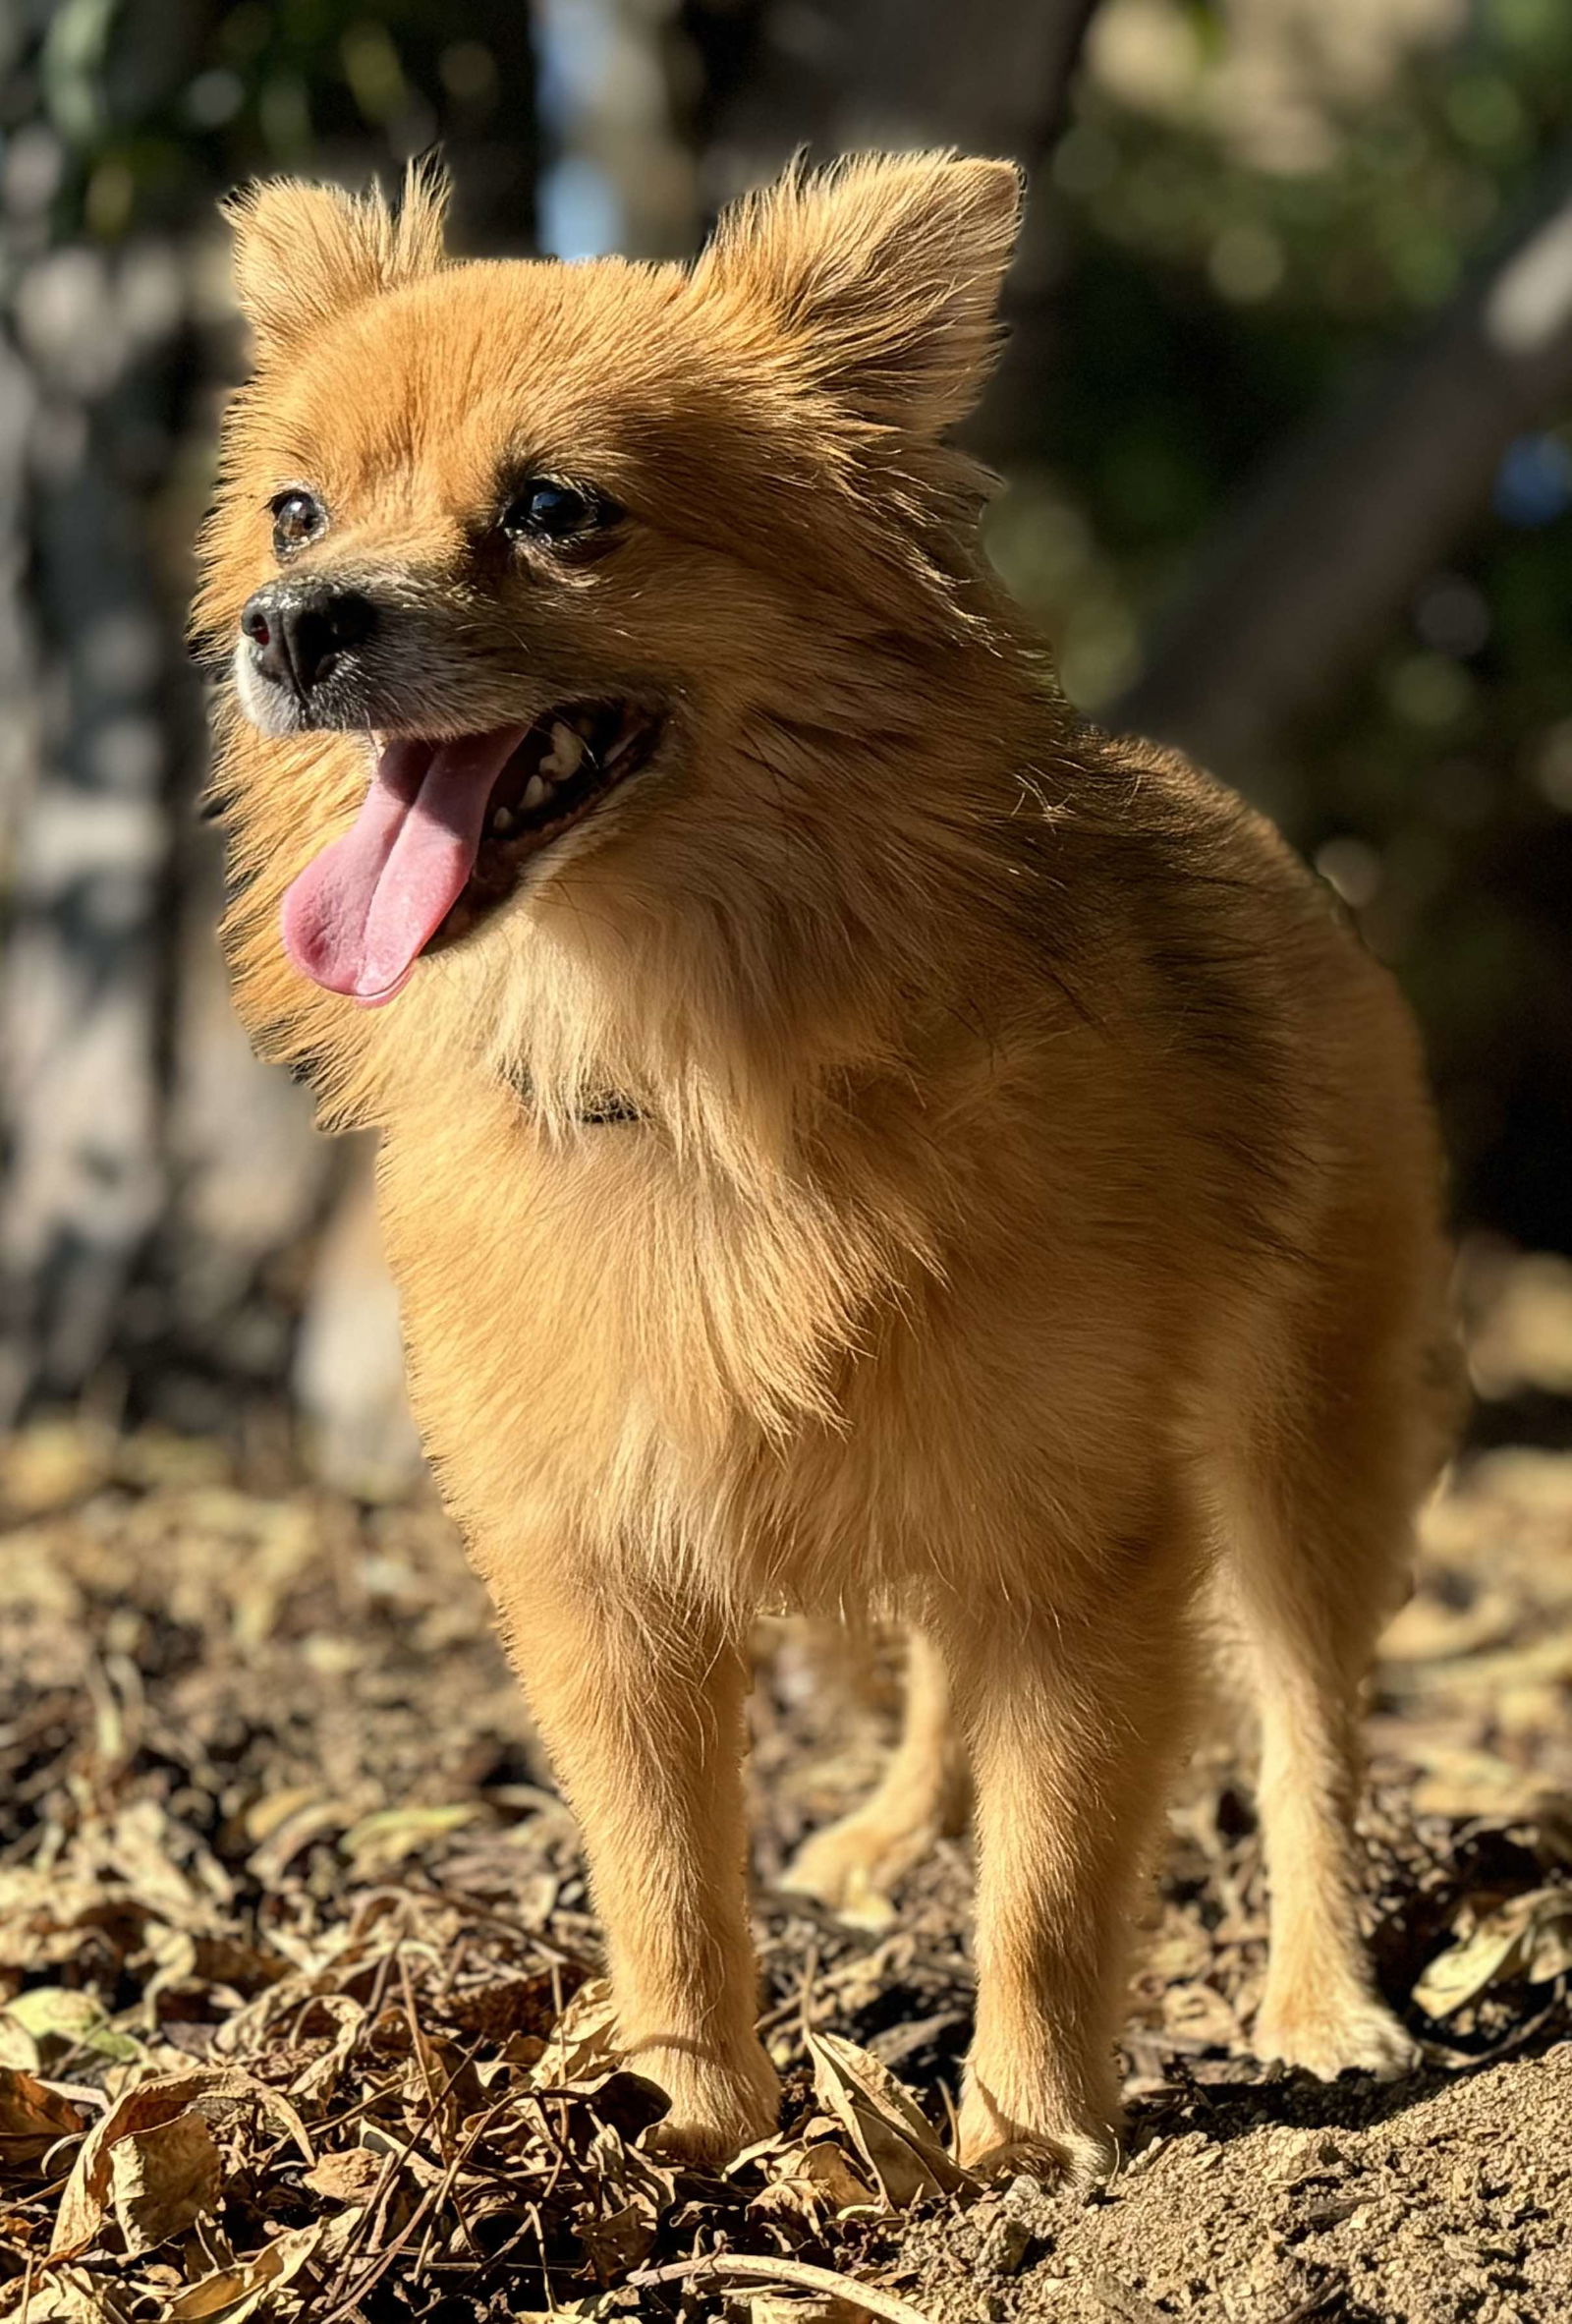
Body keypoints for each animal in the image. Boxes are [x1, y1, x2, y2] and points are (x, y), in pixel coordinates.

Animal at [196, 159, 1458, 2175]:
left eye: (555, 511)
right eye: (291, 508)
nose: (291, 618)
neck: (687, 1070)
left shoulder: (1088, 1545)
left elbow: (1052, 1879)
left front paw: (1026, 2148)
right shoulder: (606, 1578)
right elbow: (665, 1883)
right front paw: (691, 2130)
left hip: (1299, 1464)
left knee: (1308, 1747)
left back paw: (1322, 2004)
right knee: (944, 1674)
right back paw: (882, 1834)